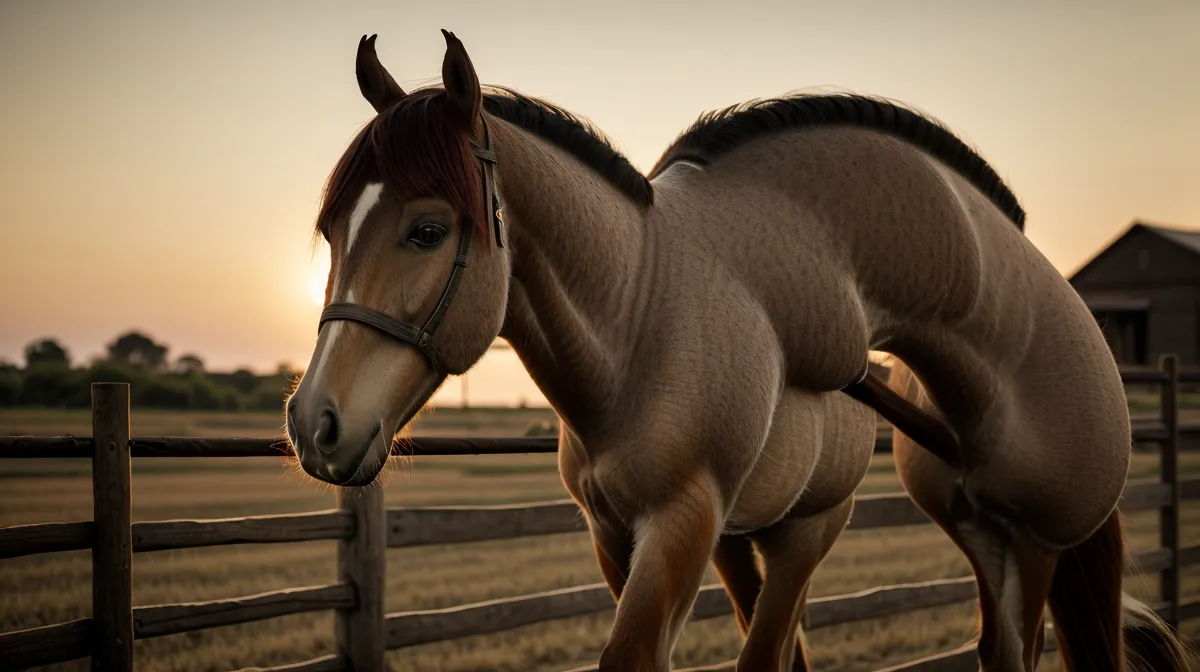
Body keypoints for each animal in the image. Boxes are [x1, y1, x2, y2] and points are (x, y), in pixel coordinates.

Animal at [283, 30, 1189, 672]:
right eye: (331, 227)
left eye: (427, 230)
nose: (314, 423)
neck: (636, 333)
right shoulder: (618, 537)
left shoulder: (679, 528)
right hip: (808, 537)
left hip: (956, 541)